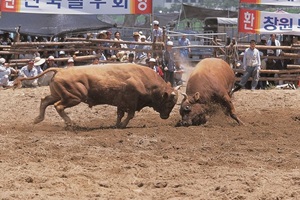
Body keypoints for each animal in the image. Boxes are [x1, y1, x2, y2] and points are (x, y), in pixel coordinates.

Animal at [13, 63, 178, 128]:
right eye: (170, 102)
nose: (166, 116)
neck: (143, 79)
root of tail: (60, 69)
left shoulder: (121, 103)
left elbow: (119, 114)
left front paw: (117, 124)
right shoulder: (131, 102)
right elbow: (130, 115)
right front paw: (122, 125)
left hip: (57, 94)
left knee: (45, 101)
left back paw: (38, 119)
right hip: (73, 97)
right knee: (58, 106)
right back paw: (70, 123)